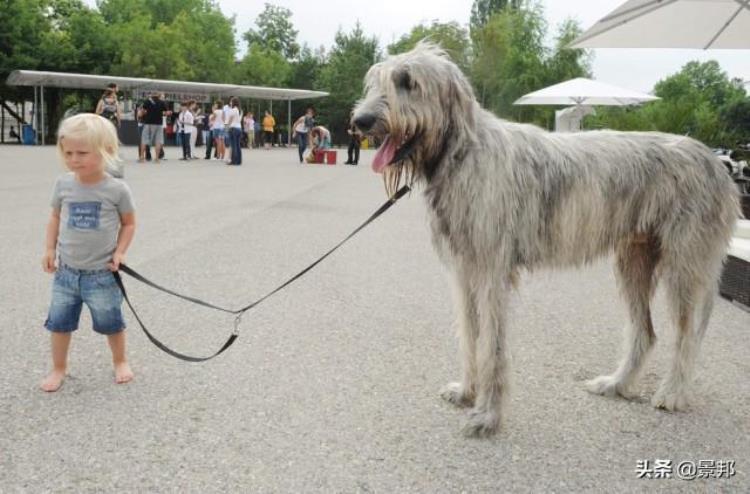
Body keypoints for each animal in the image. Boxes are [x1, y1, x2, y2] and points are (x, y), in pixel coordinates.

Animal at [352, 44, 740, 438]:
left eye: (408, 82)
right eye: (376, 80)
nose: (361, 121)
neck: (462, 155)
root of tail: (716, 163)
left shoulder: (492, 273)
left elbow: (492, 346)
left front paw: (488, 415)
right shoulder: (464, 272)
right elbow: (470, 335)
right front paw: (466, 392)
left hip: (684, 265)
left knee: (686, 333)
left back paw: (673, 392)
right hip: (634, 261)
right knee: (645, 332)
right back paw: (615, 384)